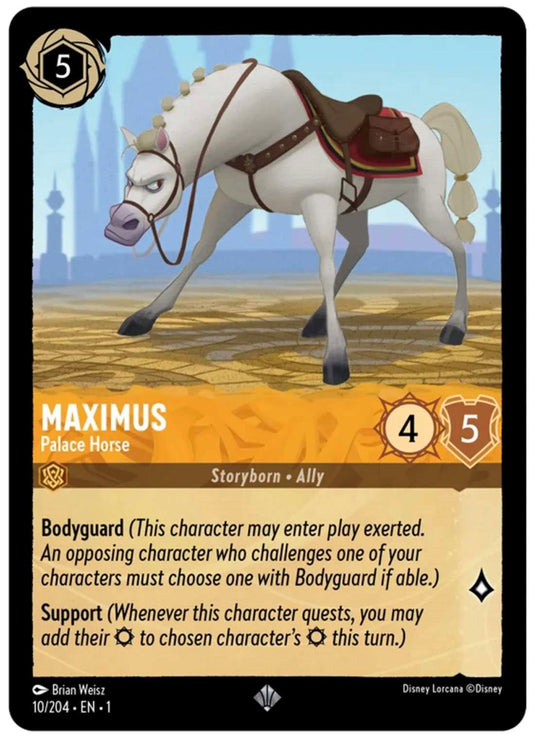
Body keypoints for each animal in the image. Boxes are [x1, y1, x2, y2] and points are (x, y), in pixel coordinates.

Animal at [104, 59, 481, 385]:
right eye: (128, 177)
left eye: (157, 183)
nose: (118, 226)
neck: (266, 126)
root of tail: (423, 124)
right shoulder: (231, 199)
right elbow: (201, 250)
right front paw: (146, 314)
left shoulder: (317, 203)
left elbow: (325, 268)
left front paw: (336, 357)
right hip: (353, 209)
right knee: (360, 246)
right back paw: (317, 319)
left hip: (424, 203)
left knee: (458, 249)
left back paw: (455, 325)